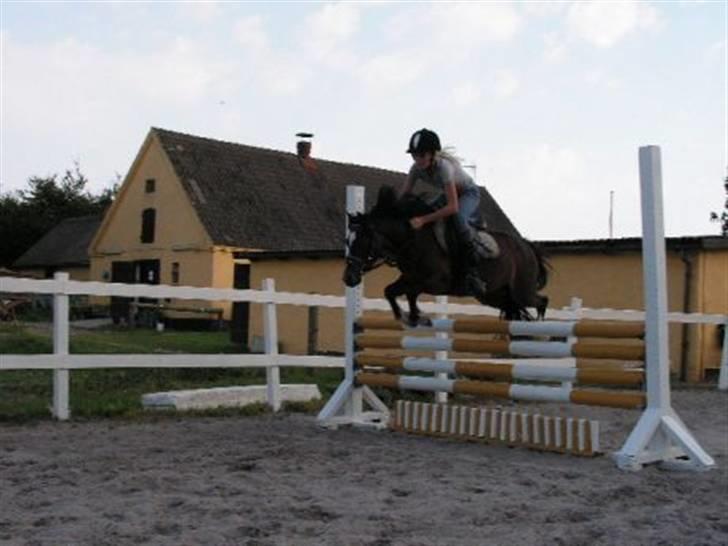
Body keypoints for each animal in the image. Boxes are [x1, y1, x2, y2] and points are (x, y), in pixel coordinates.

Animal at [344, 185, 548, 326]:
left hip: (522, 291)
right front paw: (410, 317)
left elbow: (411, 291)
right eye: (347, 241)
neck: (412, 239)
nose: (348, 278)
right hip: (493, 296)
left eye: (362, 242)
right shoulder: (409, 278)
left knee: (541, 301)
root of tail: (527, 246)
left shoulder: (435, 282)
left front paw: (414, 317)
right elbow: (390, 291)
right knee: (514, 308)